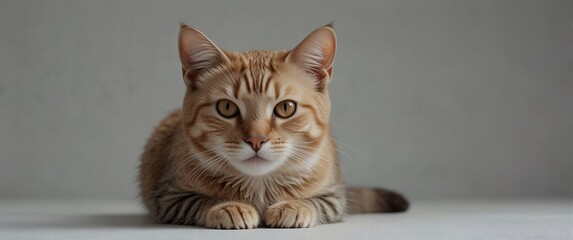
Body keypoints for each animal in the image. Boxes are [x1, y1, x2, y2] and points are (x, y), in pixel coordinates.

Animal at [138, 23, 406, 229]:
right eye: (226, 108)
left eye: (286, 108)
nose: (256, 140)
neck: (260, 185)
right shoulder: (168, 197)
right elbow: (199, 201)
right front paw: (228, 207)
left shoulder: (334, 196)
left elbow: (315, 202)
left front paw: (294, 206)